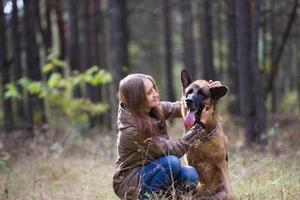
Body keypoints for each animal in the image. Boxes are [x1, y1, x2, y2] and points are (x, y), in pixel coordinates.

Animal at [180, 69, 234, 199]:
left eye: (201, 94)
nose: (188, 101)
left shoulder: (222, 164)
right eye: (188, 93)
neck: (203, 136)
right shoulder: (191, 164)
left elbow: (230, 192)